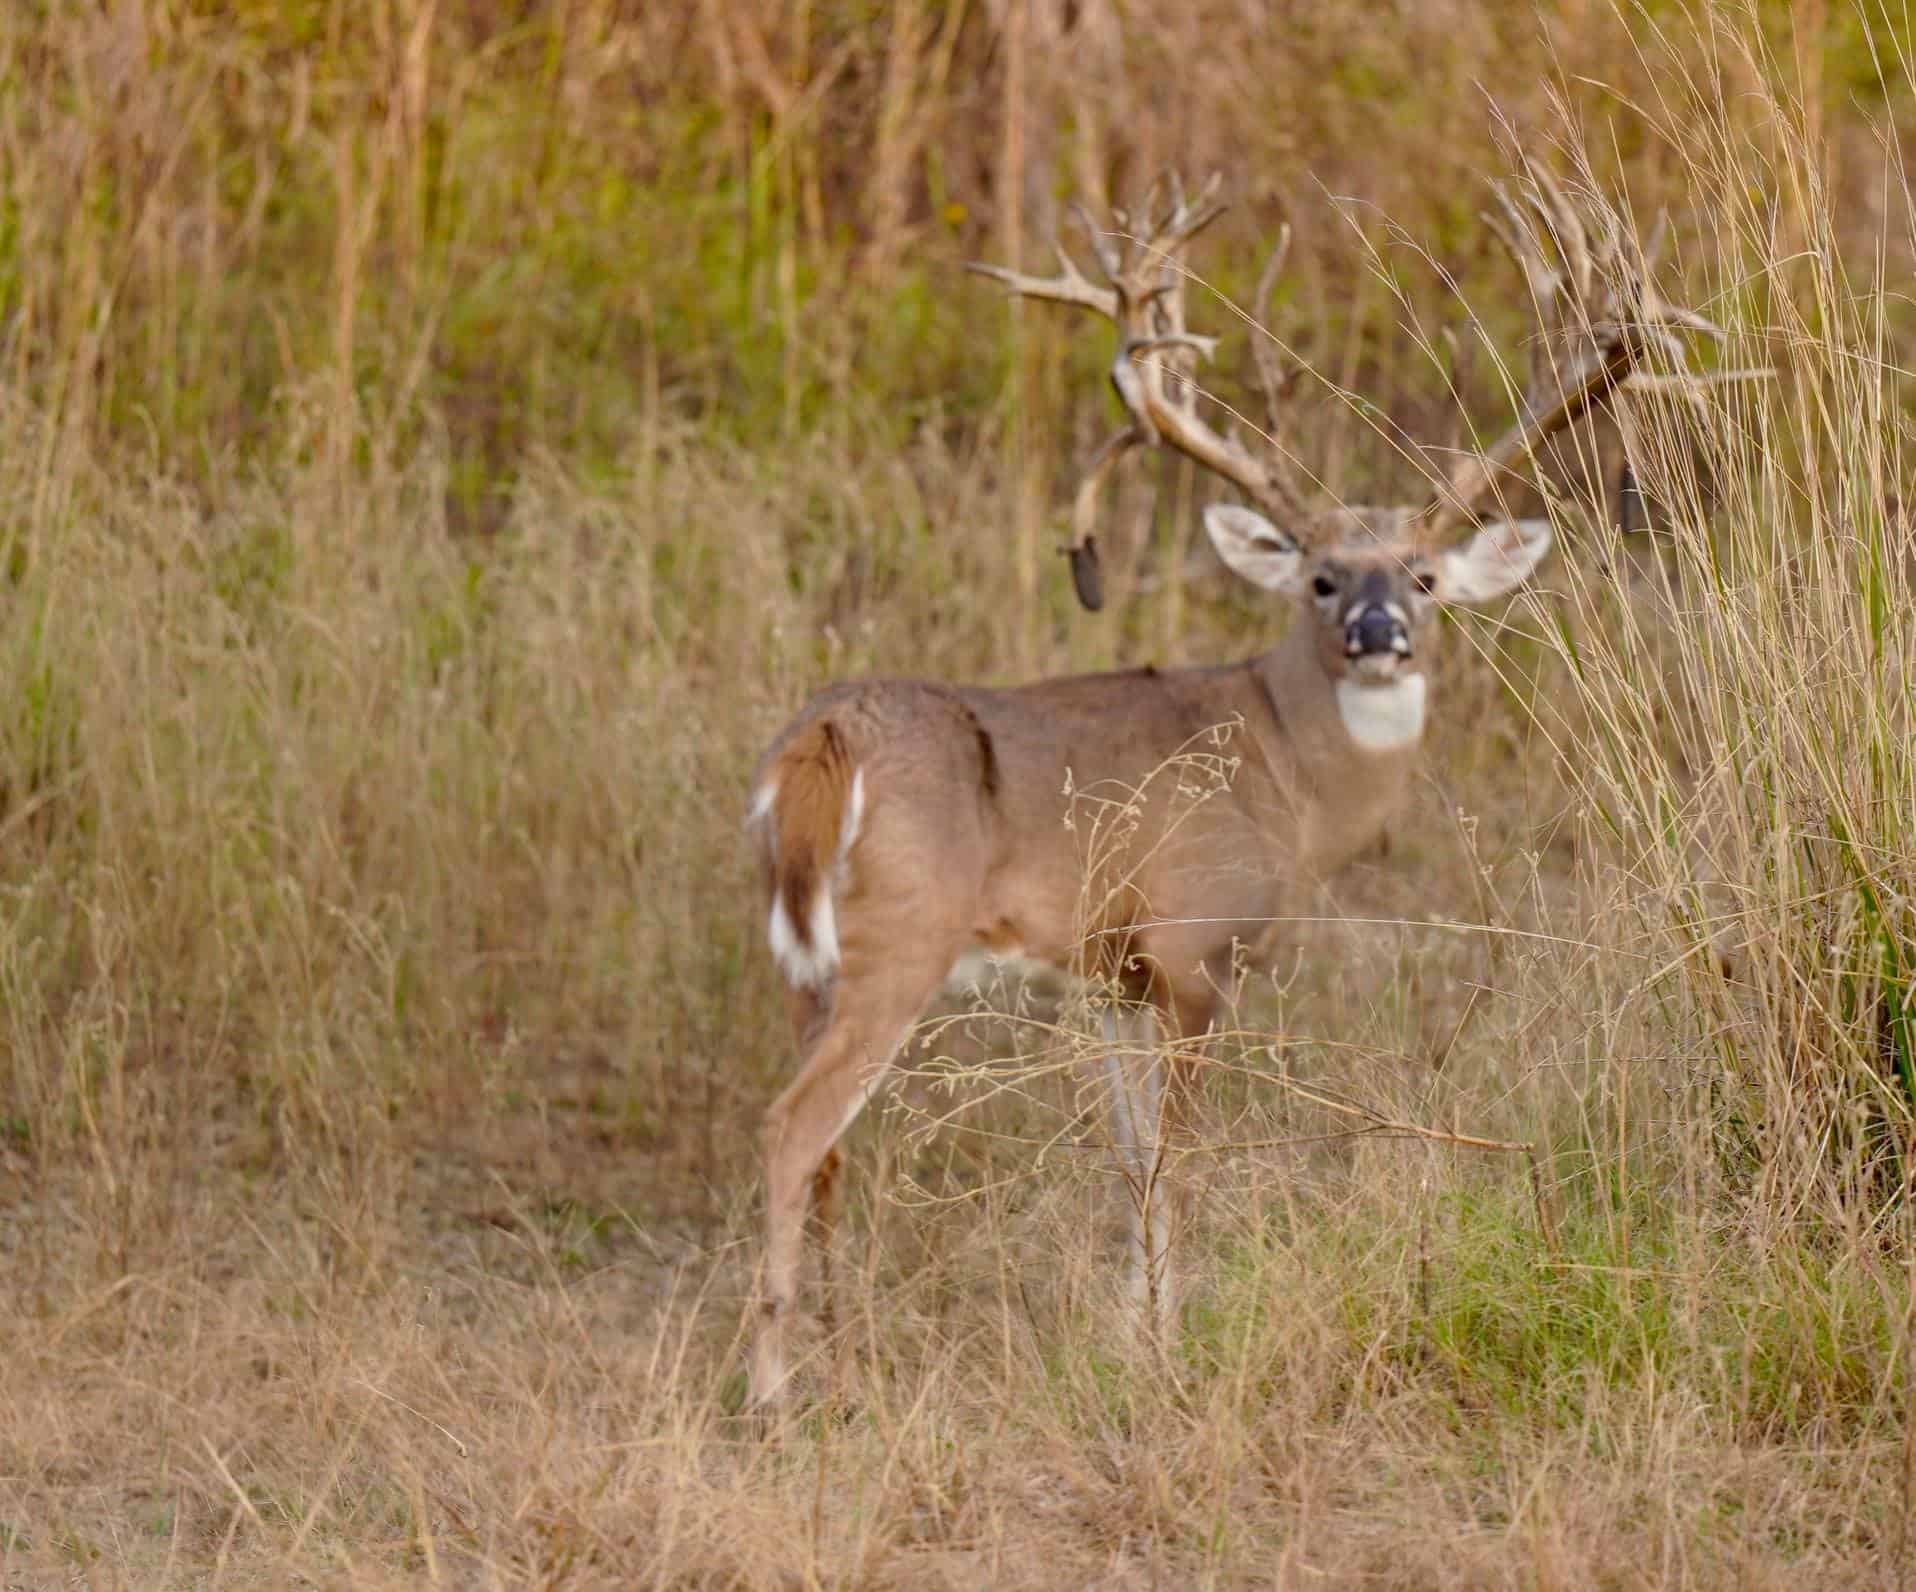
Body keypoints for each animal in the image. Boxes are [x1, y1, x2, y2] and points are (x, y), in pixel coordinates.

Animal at [743, 165, 1722, 1409]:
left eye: (1422, 576)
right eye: (1318, 576)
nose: (1377, 634)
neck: (1283, 768)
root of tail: (818, 740)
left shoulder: (1106, 975)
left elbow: (1126, 1156)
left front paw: (1127, 1333)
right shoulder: (1195, 940)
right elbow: (1178, 1155)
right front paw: (1165, 1340)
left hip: (800, 961)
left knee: (823, 1146)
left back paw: (837, 1352)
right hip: (897, 939)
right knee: (791, 1127)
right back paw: (772, 1386)